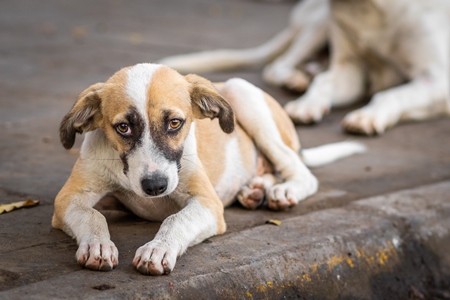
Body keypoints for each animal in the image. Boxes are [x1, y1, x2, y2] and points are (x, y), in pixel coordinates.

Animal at [52, 63, 364, 274]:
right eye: (123, 128)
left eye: (175, 123)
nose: (155, 186)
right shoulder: (69, 198)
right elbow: (93, 216)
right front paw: (97, 245)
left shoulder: (208, 203)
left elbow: (176, 220)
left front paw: (157, 249)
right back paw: (254, 190)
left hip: (243, 94)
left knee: (300, 171)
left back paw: (284, 191)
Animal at [161, 0, 450, 135]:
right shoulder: (350, 69)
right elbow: (325, 83)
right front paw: (307, 105)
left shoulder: (438, 81)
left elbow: (392, 94)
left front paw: (368, 115)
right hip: (319, 22)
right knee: (278, 65)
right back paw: (298, 78)